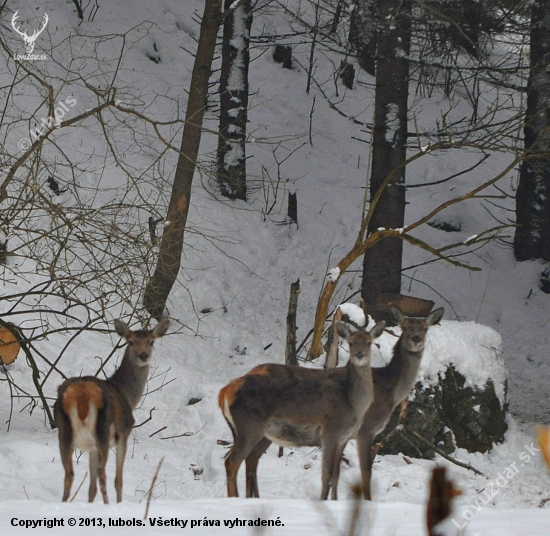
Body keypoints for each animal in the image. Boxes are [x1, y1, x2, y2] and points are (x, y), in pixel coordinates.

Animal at [54, 318, 170, 506]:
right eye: (131, 341)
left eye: (151, 341)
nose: (143, 355)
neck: (127, 396)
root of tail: (81, 393)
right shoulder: (123, 434)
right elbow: (118, 480)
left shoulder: (91, 448)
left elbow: (91, 487)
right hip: (103, 430)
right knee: (103, 475)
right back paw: (108, 504)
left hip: (64, 432)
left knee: (69, 474)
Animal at [218, 318, 386, 498]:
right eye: (351, 342)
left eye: (369, 342)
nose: (359, 354)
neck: (353, 404)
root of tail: (224, 392)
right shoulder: (330, 432)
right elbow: (326, 475)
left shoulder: (343, 438)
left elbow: (335, 475)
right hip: (249, 426)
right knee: (231, 461)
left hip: (258, 432)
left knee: (246, 459)